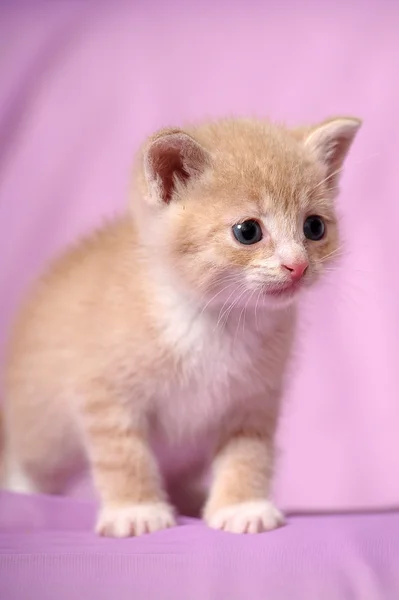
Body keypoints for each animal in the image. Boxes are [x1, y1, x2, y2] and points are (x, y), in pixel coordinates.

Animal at [0, 115, 362, 536]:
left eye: (314, 227)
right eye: (248, 231)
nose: (298, 266)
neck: (216, 320)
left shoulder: (254, 399)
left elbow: (249, 453)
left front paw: (242, 505)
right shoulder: (104, 393)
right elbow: (122, 453)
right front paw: (135, 509)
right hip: (42, 432)